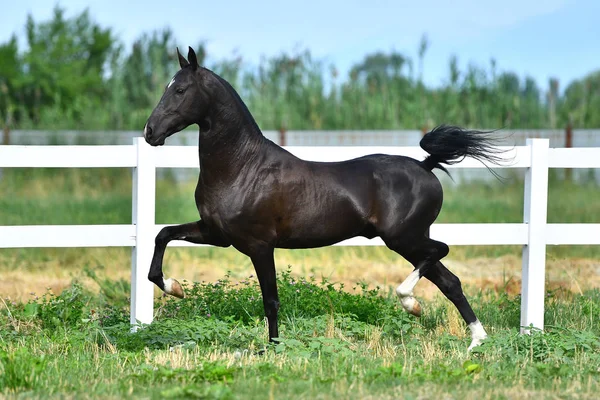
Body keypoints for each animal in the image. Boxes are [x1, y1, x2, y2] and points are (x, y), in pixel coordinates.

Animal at [143, 46, 504, 350]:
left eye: (179, 90)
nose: (149, 132)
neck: (242, 168)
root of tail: (425, 165)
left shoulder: (260, 245)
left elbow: (270, 300)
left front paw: (272, 349)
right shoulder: (217, 234)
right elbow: (162, 236)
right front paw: (174, 287)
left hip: (403, 237)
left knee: (440, 252)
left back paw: (409, 302)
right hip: (409, 240)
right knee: (450, 281)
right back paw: (475, 341)